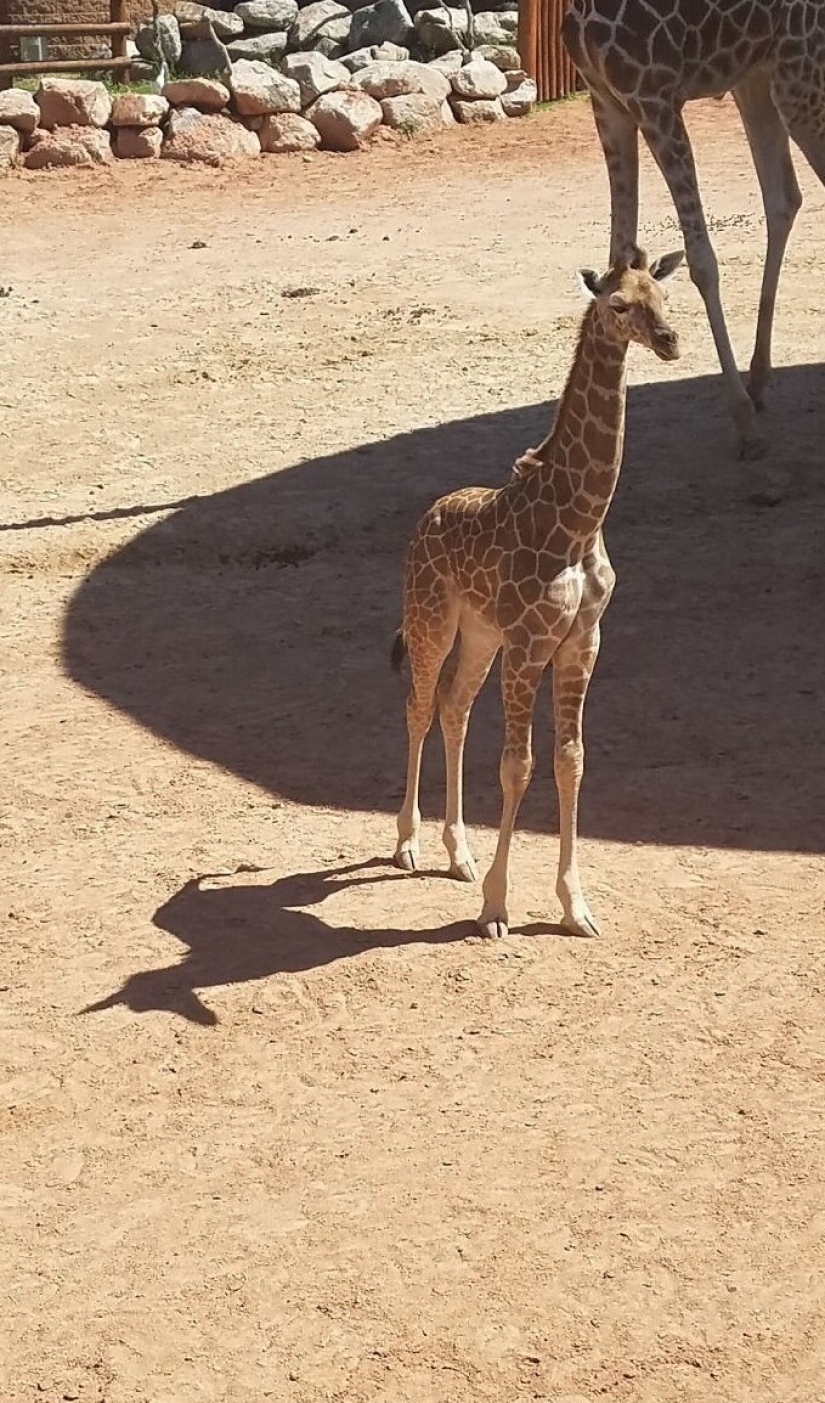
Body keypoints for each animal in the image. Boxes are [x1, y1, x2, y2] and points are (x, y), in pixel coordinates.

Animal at [391, 246, 683, 939]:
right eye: (618, 304)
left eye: (663, 295)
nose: (669, 340)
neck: (578, 522)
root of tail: (425, 518)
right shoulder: (529, 643)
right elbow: (517, 765)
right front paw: (496, 907)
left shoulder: (582, 640)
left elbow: (569, 759)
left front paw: (575, 906)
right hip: (431, 619)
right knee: (420, 705)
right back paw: (408, 843)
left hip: (479, 634)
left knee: (454, 707)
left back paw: (459, 854)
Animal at [561, 0, 825, 459]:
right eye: (620, 307)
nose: (669, 344)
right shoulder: (607, 100)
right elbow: (618, 250)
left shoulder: (656, 98)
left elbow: (702, 262)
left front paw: (745, 425)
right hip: (759, 78)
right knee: (783, 199)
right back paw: (758, 379)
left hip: (800, 77)